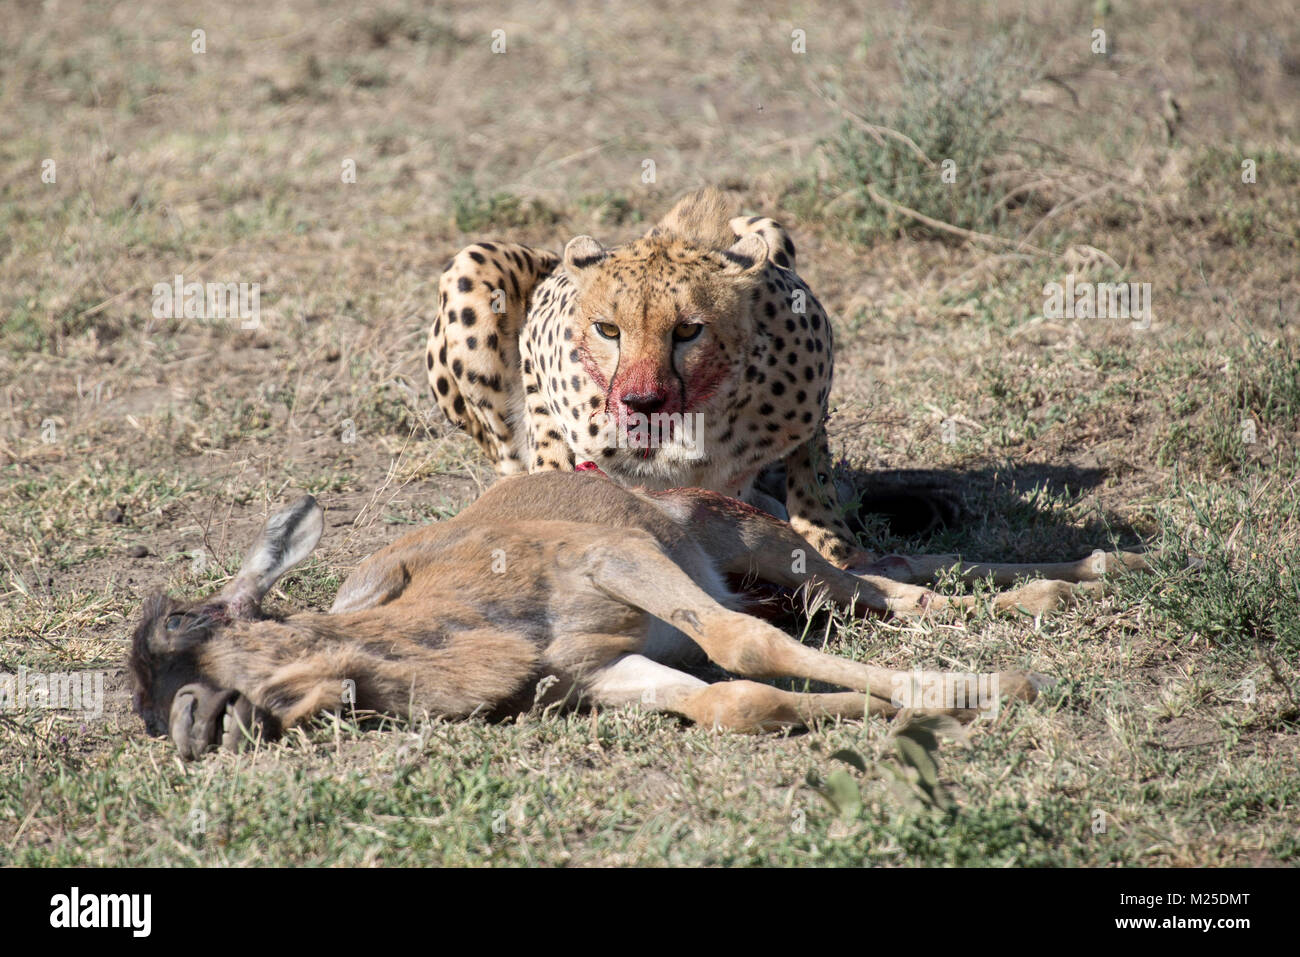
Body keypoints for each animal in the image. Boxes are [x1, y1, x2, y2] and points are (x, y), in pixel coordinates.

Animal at [129, 468, 1149, 759]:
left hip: (750, 540)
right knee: (885, 574)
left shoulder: (616, 559)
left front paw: (988, 687)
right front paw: (883, 708)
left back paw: (1090, 573)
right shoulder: (593, 673)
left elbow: (741, 643)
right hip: (772, 565)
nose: (188, 726)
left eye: (180, 626)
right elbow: (736, 700)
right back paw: (1086, 574)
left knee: (884, 583)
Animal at [426, 187, 863, 564]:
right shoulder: (538, 343)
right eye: (608, 329)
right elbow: (547, 444)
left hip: (768, 227)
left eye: (688, 330)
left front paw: (830, 540)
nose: (642, 402)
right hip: (473, 261)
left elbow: (813, 469)